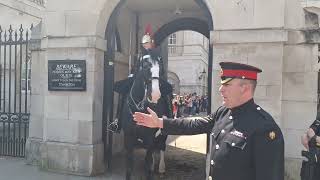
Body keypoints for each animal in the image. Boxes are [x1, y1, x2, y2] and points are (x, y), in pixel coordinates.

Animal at [114, 48, 172, 180]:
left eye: (160, 67)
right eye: (145, 65)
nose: (155, 95)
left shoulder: (149, 138)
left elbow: (148, 163)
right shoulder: (129, 138)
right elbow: (129, 166)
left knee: (162, 147)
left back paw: (161, 168)